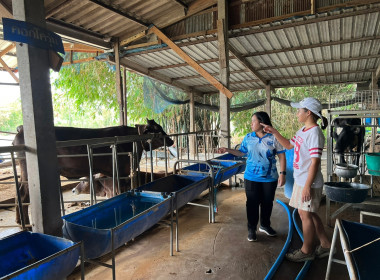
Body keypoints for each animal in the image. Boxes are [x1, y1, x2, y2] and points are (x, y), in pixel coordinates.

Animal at [12, 118, 174, 225]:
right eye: (157, 130)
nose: (171, 141)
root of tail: (21, 128)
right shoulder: (120, 172)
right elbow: (119, 191)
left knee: (18, 193)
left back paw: (19, 221)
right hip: (27, 171)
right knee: (24, 194)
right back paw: (26, 223)